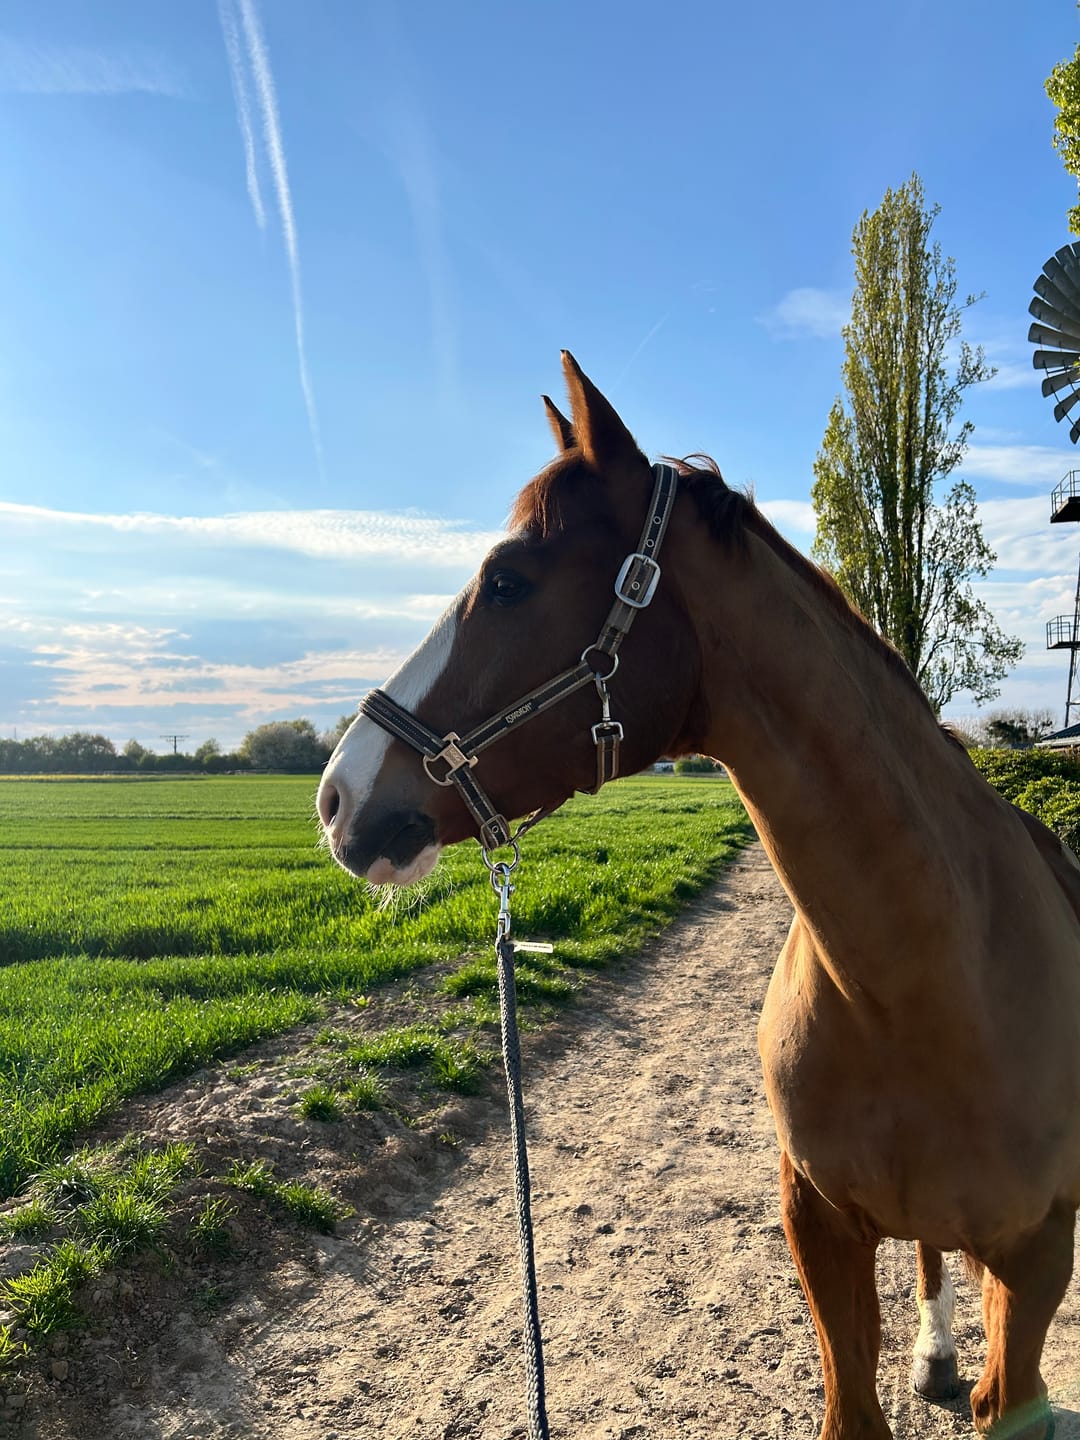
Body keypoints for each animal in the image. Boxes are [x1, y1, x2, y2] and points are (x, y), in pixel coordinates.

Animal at [316, 352, 1080, 1440]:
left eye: (507, 582)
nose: (338, 796)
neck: (928, 986)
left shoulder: (1038, 1253)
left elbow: (1012, 1384)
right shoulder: (818, 1227)